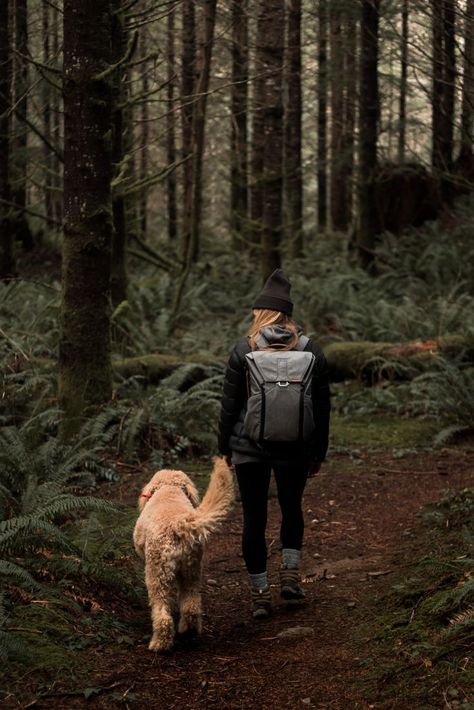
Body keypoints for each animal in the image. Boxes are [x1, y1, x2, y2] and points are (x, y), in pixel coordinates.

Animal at [133, 458, 233, 652]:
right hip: (191, 570)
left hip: (157, 575)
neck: (169, 490)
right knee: (191, 605)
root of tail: (179, 523)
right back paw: (188, 630)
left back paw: (159, 644)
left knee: (163, 613)